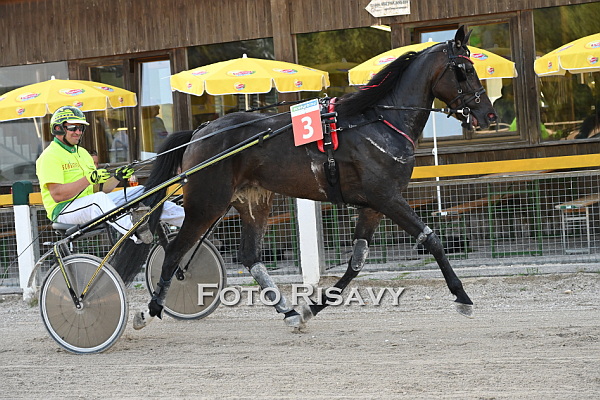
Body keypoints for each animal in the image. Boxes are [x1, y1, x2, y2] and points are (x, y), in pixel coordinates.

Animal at [123, 26, 498, 330]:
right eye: (465, 70)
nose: (488, 115)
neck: (379, 121)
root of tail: (201, 131)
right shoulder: (388, 198)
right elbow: (431, 240)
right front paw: (462, 297)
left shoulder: (373, 205)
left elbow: (356, 263)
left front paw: (311, 309)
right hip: (207, 203)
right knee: (175, 253)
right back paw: (150, 310)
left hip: (253, 201)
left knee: (249, 256)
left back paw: (288, 312)